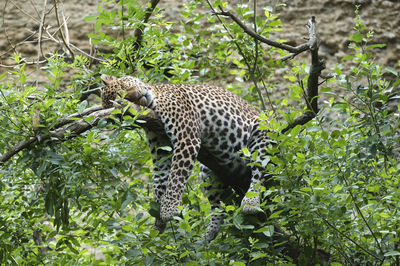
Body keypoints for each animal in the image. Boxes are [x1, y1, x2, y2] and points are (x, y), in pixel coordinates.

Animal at [101, 74, 274, 241]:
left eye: (124, 88)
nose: (137, 95)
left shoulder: (186, 137)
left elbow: (176, 176)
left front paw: (169, 210)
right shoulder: (161, 151)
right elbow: (160, 181)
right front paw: (158, 222)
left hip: (262, 132)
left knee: (259, 173)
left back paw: (251, 202)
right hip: (208, 172)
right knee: (218, 207)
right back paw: (209, 234)